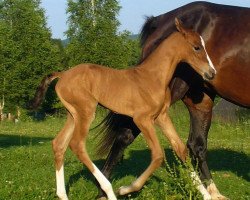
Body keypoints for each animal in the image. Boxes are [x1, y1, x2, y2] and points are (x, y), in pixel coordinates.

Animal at [30, 19, 215, 200]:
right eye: (196, 47)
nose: (211, 73)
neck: (153, 77)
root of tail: (62, 75)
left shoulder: (162, 116)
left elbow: (181, 149)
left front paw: (206, 195)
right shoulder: (142, 119)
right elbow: (158, 155)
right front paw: (126, 189)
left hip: (73, 114)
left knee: (59, 144)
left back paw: (63, 194)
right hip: (86, 112)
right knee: (77, 144)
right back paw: (110, 191)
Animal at [96, 1, 250, 200]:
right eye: (196, 47)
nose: (212, 71)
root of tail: (160, 19)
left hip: (200, 101)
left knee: (194, 146)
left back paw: (212, 193)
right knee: (125, 136)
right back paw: (107, 191)